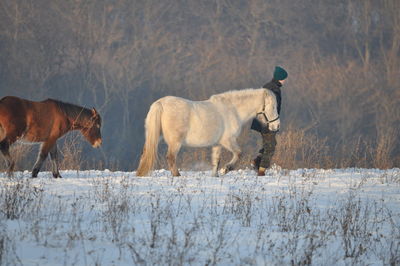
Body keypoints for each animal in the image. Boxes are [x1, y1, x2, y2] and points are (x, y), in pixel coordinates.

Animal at [136, 88, 280, 178]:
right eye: (273, 107)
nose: (276, 126)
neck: (233, 110)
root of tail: (160, 103)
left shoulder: (217, 144)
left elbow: (216, 160)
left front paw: (215, 175)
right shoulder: (227, 140)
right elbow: (239, 153)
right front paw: (227, 168)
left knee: (145, 153)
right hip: (175, 142)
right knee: (170, 157)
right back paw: (177, 175)